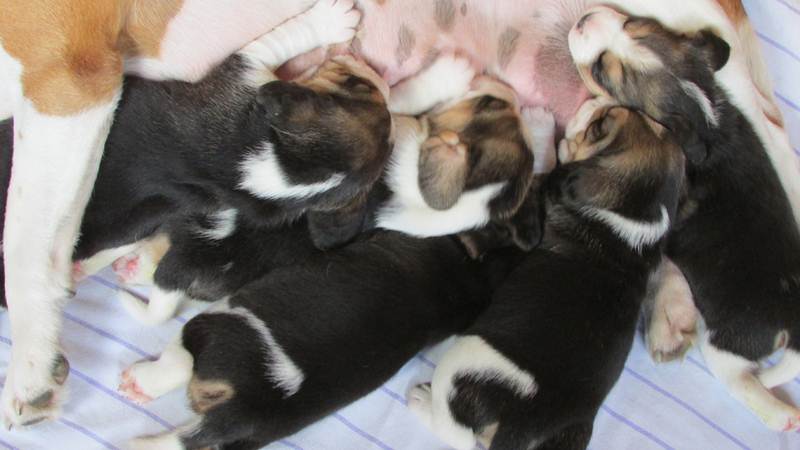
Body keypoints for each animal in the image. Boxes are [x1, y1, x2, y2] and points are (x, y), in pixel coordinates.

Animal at [408, 104, 685, 450]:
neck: (635, 217)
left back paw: (421, 401)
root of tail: (519, 428)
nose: (593, 103)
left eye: (598, 127)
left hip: (460, 363)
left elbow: (547, 161)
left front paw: (540, 122)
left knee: (457, 434)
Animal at [568, 6, 800, 431]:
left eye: (602, 71)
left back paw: (783, 415)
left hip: (726, 342)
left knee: (742, 379)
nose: (584, 19)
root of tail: (789, 328)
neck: (703, 117)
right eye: (632, 23)